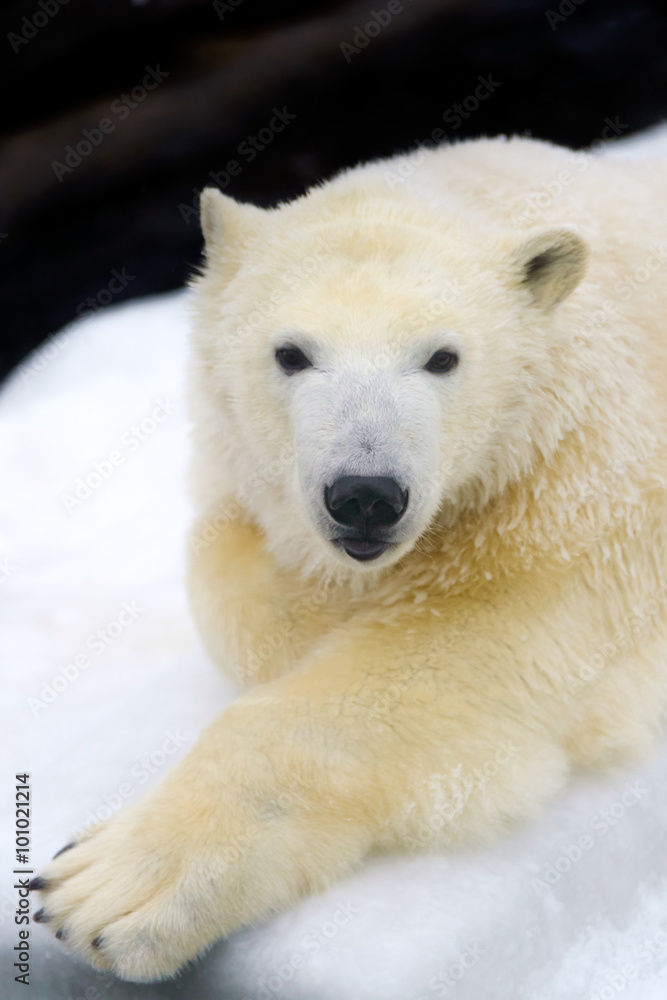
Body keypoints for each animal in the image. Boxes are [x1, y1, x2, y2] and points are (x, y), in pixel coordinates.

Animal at [32, 133, 667, 976]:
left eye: (442, 357)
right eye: (290, 353)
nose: (365, 493)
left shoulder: (579, 503)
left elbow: (458, 660)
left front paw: (105, 885)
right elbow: (230, 571)